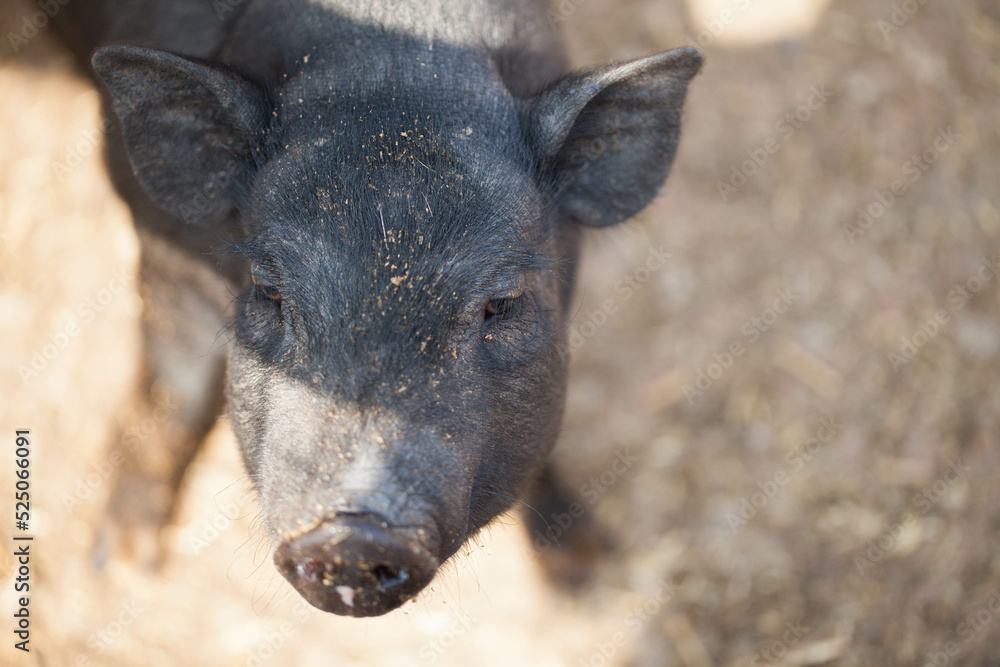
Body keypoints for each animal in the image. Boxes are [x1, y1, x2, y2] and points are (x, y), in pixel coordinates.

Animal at [49, 0, 702, 616]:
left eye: (501, 303)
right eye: (270, 291)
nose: (352, 537)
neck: (395, 65)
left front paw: (592, 573)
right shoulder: (158, 230)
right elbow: (177, 383)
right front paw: (117, 569)